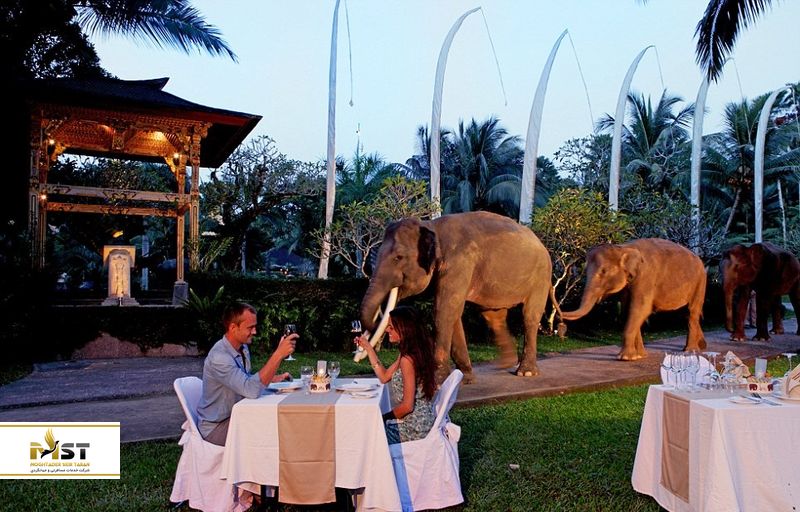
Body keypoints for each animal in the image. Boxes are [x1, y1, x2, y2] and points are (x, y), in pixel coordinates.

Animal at [357, 211, 552, 383]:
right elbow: (453, 312)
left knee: (530, 317)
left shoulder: (459, 263)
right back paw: (506, 363)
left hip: (541, 276)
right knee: (493, 317)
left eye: (398, 257)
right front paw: (464, 378)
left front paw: (438, 381)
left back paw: (526, 372)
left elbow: (444, 311)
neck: (431, 226)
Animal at [560, 238, 707, 360]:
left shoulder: (646, 277)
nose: (560, 323)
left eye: (604, 271)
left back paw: (690, 351)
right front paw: (640, 356)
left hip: (700, 282)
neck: (623, 248)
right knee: (686, 313)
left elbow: (640, 309)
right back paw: (701, 346)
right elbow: (627, 310)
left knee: (692, 312)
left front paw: (625, 358)